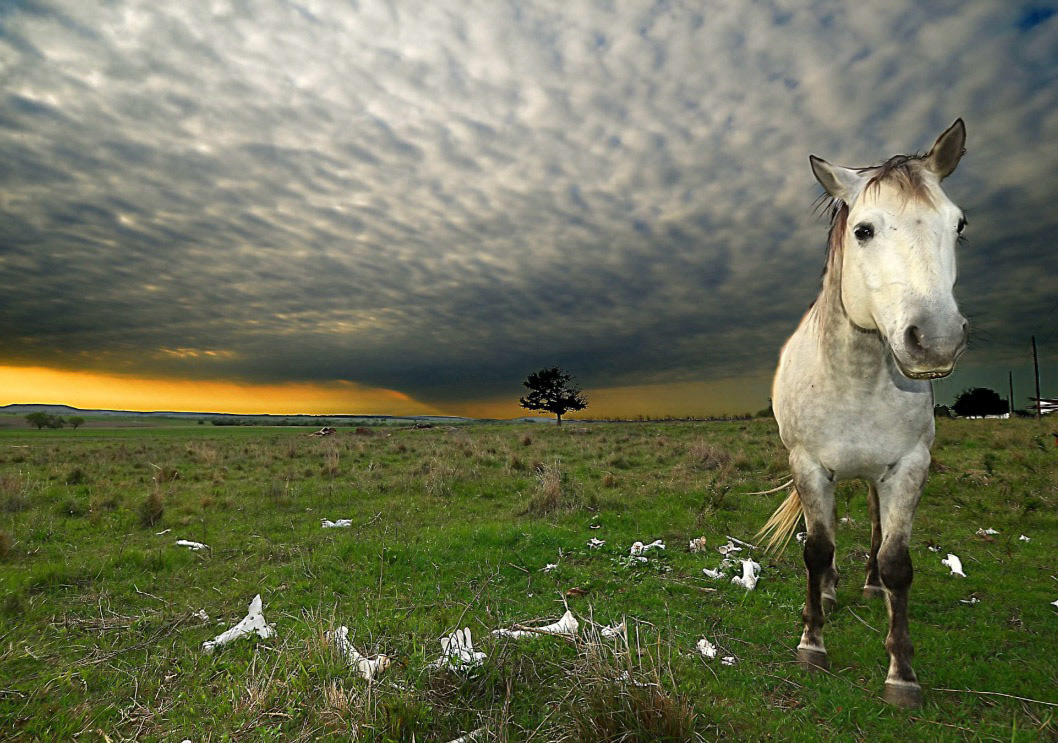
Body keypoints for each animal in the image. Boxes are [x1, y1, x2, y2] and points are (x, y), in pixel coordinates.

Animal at [758, 119, 969, 708]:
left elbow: (898, 561)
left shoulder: (909, 466)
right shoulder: (808, 465)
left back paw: (868, 583)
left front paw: (902, 673)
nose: (937, 341)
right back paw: (829, 592)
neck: (856, 377)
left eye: (959, 225)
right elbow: (815, 548)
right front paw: (812, 642)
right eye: (864, 230)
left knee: (874, 523)